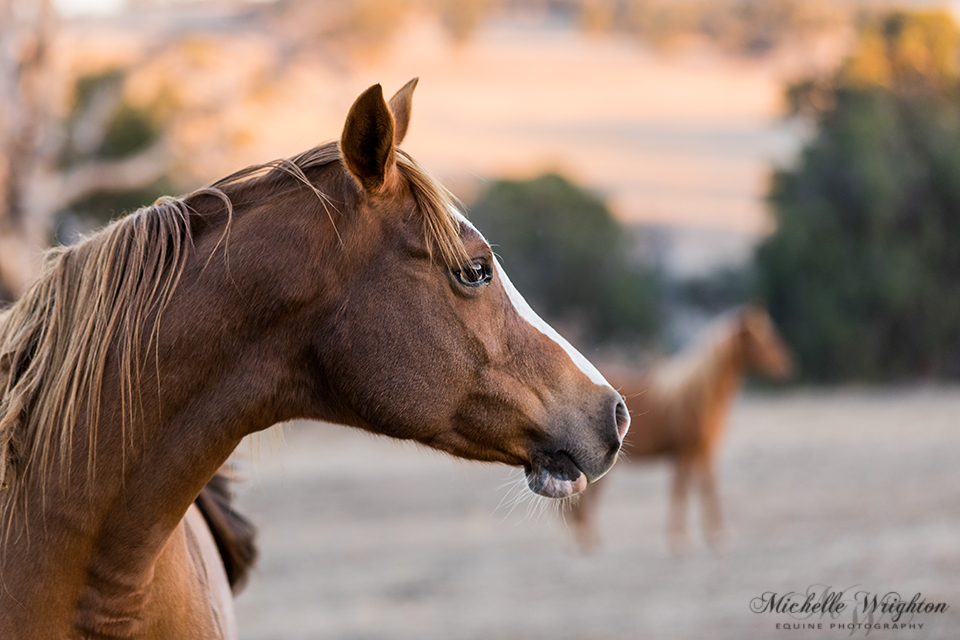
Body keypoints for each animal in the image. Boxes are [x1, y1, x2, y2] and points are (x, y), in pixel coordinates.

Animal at [568, 304, 788, 552]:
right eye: (764, 339)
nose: (786, 365)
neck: (696, 397)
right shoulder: (685, 452)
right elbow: (684, 490)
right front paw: (682, 539)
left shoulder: (702, 452)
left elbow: (704, 487)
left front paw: (714, 536)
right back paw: (587, 541)